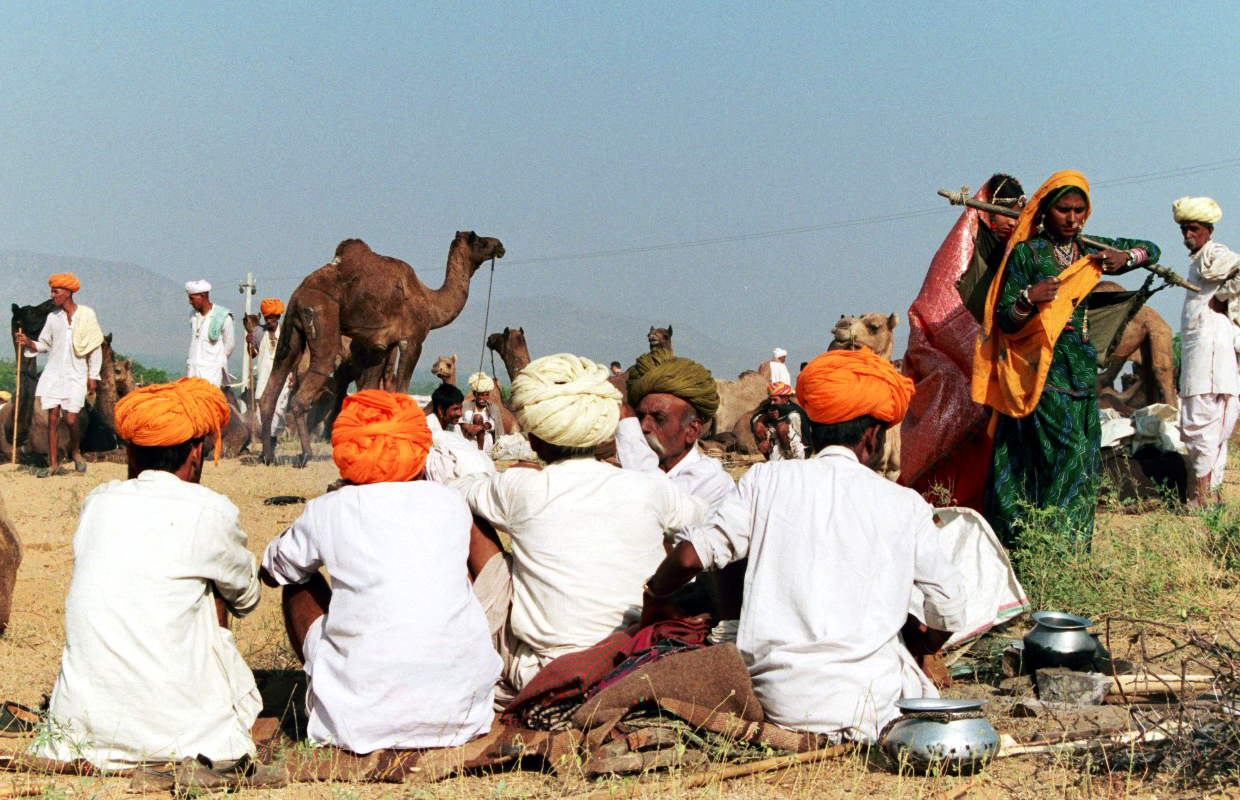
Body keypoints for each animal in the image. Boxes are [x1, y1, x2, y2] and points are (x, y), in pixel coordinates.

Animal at [259, 229, 505, 468]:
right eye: (480, 241)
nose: (500, 245)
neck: (430, 302)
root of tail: (299, 295)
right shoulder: (411, 341)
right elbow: (401, 390)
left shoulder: (381, 346)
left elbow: (370, 393)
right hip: (321, 315)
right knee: (309, 387)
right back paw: (304, 455)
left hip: (291, 330)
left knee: (273, 384)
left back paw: (267, 455)